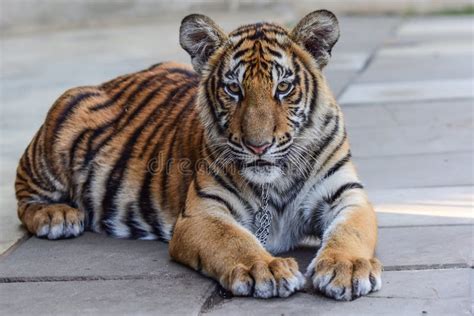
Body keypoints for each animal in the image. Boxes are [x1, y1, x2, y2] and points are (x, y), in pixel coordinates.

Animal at [14, 9, 384, 300]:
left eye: (283, 87)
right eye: (233, 89)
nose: (259, 146)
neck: (274, 182)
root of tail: (112, 80)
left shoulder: (347, 195)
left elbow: (350, 231)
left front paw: (347, 267)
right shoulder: (203, 212)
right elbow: (234, 240)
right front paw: (266, 269)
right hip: (66, 111)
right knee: (24, 198)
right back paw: (57, 216)